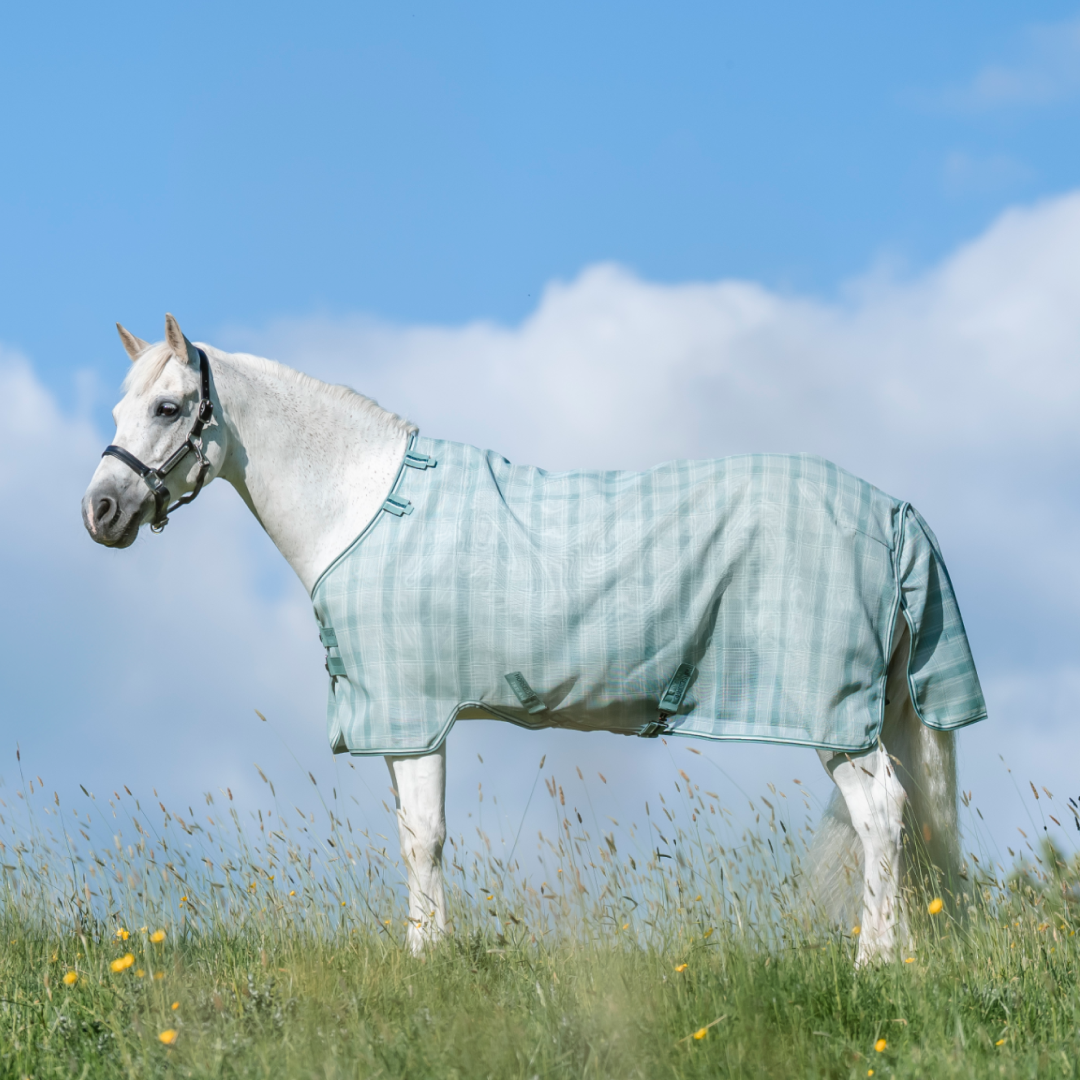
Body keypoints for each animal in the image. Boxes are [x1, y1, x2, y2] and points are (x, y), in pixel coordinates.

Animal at [81, 314, 986, 966]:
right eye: (121, 409)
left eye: (168, 408)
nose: (100, 511)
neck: (366, 506)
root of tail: (890, 509)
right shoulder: (397, 722)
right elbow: (411, 836)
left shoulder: (412, 714)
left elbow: (424, 839)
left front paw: (427, 961)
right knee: (901, 821)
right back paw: (900, 957)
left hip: (834, 716)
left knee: (882, 813)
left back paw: (871, 962)